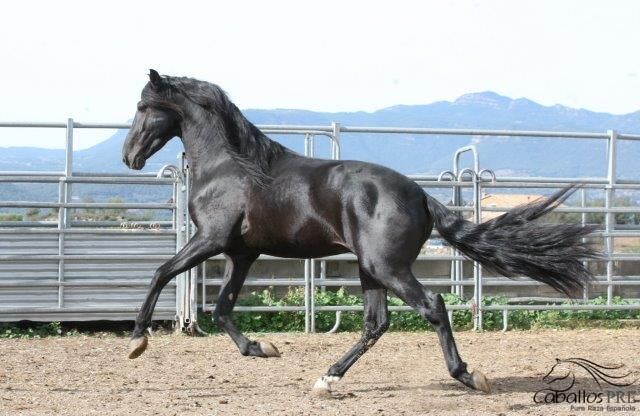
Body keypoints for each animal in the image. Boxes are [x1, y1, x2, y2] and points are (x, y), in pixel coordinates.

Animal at [124, 70, 600, 396]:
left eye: (143, 107)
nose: (129, 156)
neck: (230, 167)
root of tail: (420, 196)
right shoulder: (241, 253)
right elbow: (222, 307)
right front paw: (261, 348)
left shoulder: (211, 240)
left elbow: (162, 273)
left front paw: (137, 340)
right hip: (370, 268)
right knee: (376, 323)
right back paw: (327, 378)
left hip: (384, 266)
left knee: (432, 306)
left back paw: (467, 375)